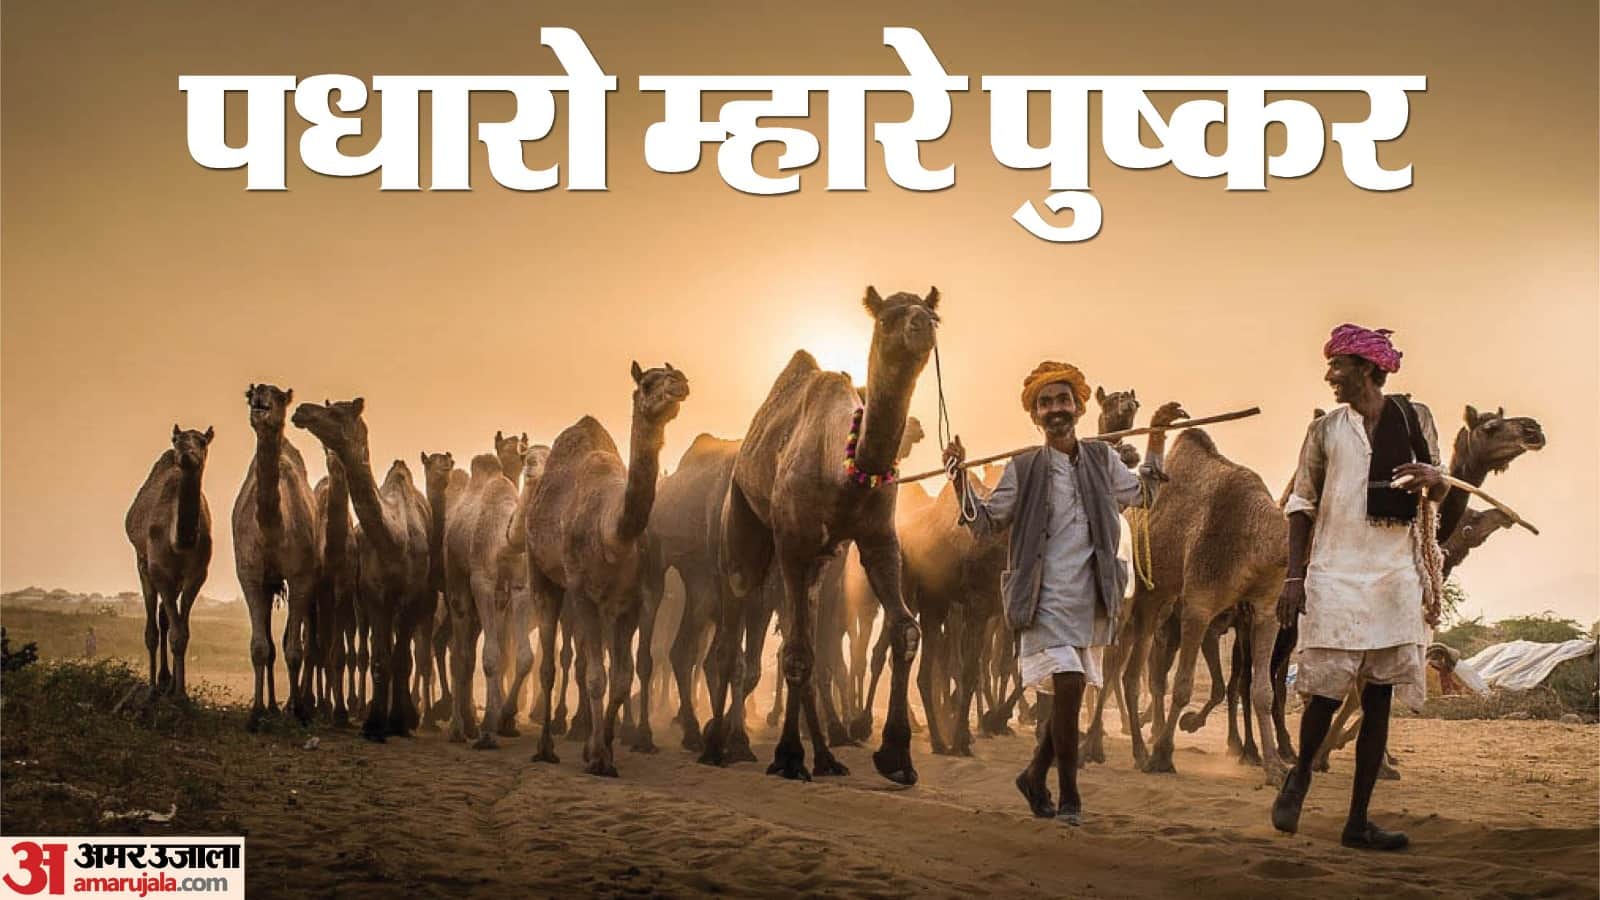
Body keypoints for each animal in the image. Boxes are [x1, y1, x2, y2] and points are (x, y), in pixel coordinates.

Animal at [126, 425, 215, 697]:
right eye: (177, 440)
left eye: (202, 441)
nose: (185, 453)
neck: (179, 541)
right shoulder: (159, 571)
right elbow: (170, 632)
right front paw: (169, 691)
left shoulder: (197, 575)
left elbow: (181, 633)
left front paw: (181, 692)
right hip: (143, 563)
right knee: (152, 627)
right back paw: (155, 686)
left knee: (164, 618)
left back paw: (166, 680)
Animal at [233, 384, 322, 728]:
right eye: (251, 394)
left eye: (279, 396)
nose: (261, 401)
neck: (272, 529)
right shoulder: (250, 575)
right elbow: (261, 647)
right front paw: (256, 713)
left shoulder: (301, 576)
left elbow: (294, 649)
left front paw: (298, 712)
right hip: (269, 583)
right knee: (271, 646)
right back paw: (271, 706)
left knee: (301, 642)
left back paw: (296, 704)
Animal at [293, 397, 431, 741]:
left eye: (336, 412)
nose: (301, 410)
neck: (395, 539)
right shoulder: (372, 595)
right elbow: (381, 658)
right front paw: (374, 724)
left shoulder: (411, 595)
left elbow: (401, 659)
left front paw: (398, 722)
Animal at [525, 361, 690, 775]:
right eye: (647, 382)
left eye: (673, 373)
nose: (680, 383)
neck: (613, 534)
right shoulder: (583, 592)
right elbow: (597, 677)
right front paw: (598, 757)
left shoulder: (630, 602)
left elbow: (621, 676)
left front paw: (604, 750)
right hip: (543, 574)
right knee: (550, 663)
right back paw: (545, 746)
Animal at [706, 286, 938, 785]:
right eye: (887, 316)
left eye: (934, 314)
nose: (922, 325)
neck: (845, 469)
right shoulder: (793, 546)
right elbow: (795, 653)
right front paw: (788, 757)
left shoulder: (877, 541)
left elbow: (904, 631)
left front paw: (897, 756)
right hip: (741, 530)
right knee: (732, 630)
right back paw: (715, 746)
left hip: (817, 568)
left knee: (812, 642)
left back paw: (828, 758)